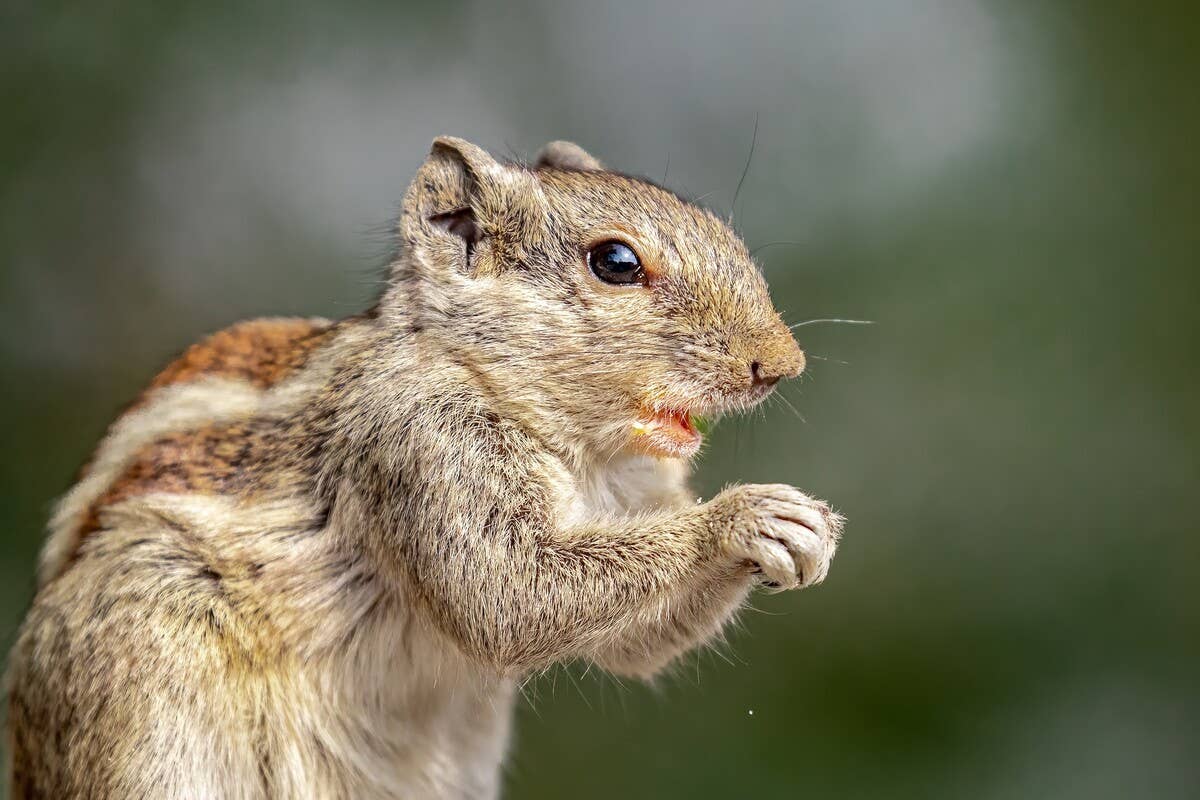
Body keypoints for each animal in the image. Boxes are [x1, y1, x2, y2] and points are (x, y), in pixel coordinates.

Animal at [6, 137, 844, 799]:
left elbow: (632, 643)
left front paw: (803, 534)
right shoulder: (417, 445)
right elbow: (509, 591)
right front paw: (744, 518)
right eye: (615, 263)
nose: (783, 365)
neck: (576, 450)